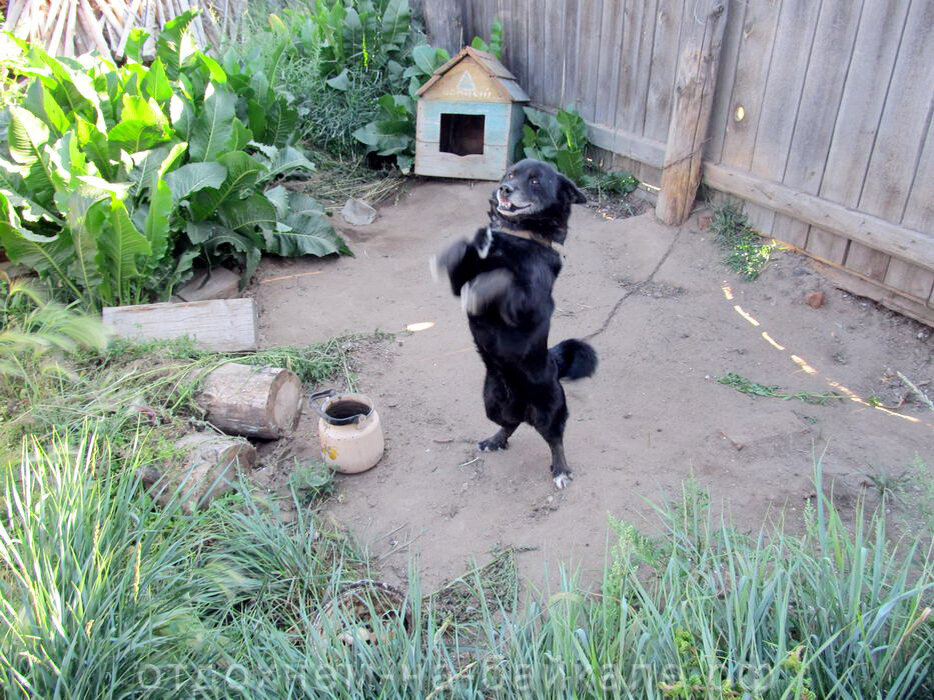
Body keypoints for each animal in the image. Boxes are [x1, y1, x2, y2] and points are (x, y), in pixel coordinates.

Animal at [434, 159, 600, 490]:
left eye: (535, 181)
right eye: (510, 174)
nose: (504, 189)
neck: (516, 236)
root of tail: (554, 364)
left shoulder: (527, 306)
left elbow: (499, 281)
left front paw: (488, 280)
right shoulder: (460, 284)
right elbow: (462, 259)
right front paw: (461, 249)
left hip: (550, 409)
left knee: (555, 439)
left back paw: (561, 470)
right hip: (492, 402)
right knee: (511, 424)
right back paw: (495, 440)